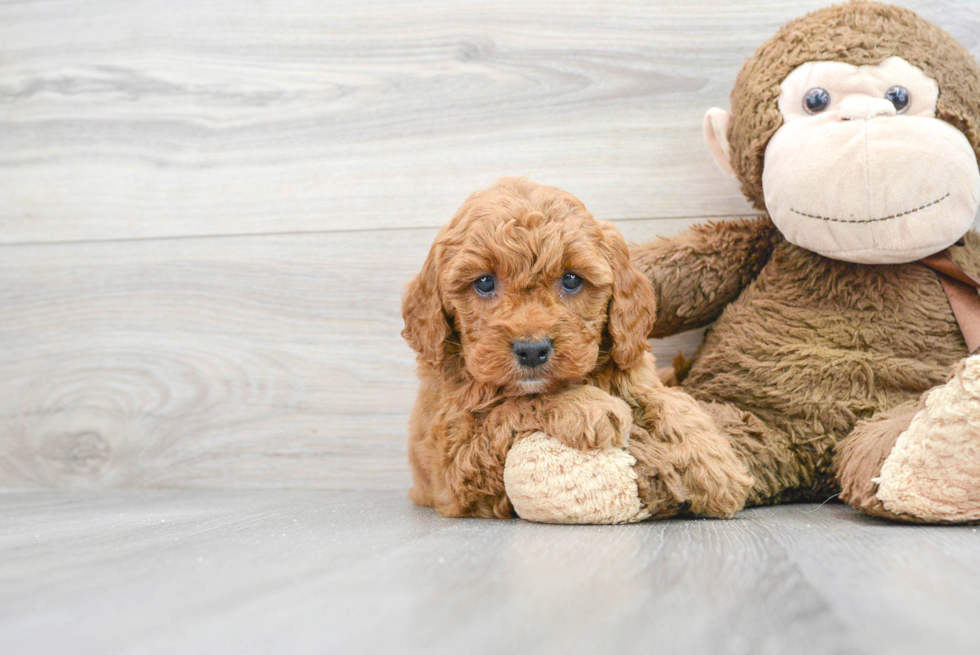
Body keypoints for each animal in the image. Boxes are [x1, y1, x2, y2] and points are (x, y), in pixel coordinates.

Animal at [400, 177, 752, 520]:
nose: (531, 351)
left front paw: (717, 467)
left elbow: (672, 403)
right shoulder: (454, 460)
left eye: (571, 280)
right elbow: (516, 403)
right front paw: (587, 406)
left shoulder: (636, 373)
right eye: (484, 283)